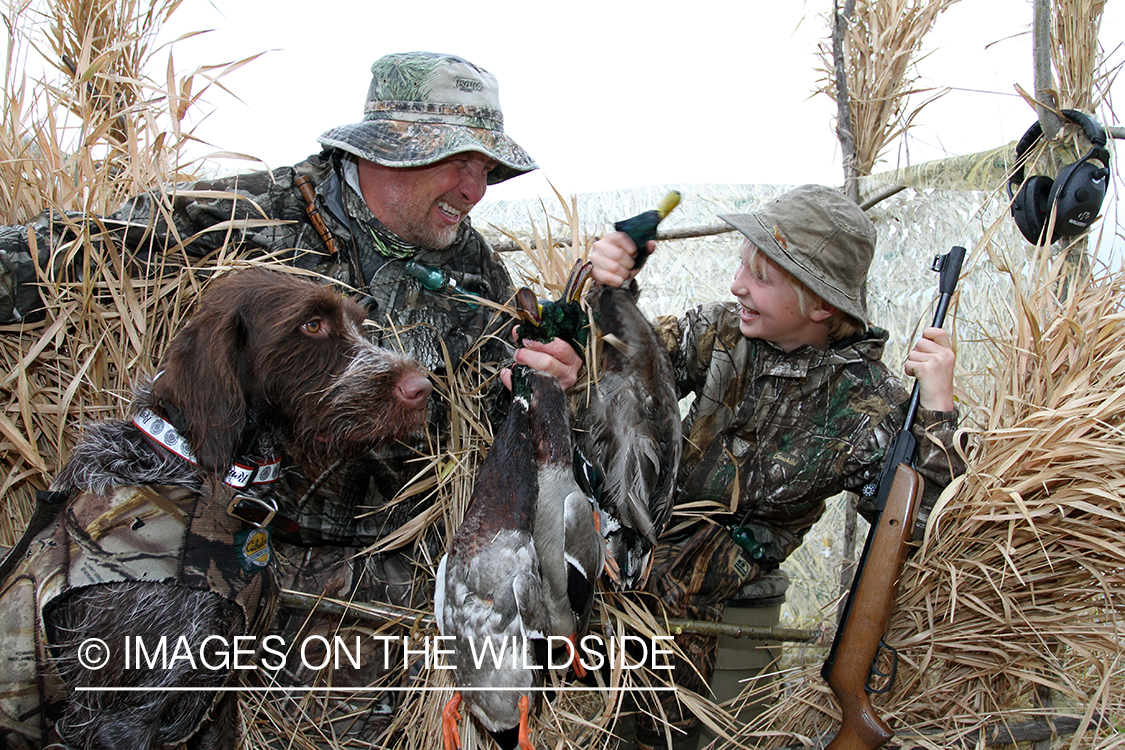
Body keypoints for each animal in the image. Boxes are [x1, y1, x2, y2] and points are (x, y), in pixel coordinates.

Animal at [0, 269, 429, 750]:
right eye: (312, 324)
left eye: (359, 323)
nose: (423, 389)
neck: (199, 475)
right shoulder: (118, 719)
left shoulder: (217, 692)